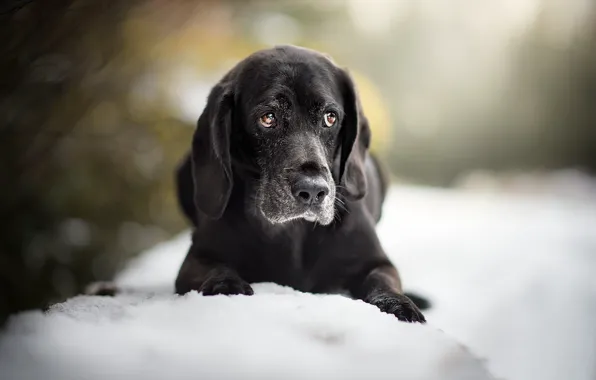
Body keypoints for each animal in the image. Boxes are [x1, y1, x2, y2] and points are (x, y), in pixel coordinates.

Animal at [175, 46, 426, 322]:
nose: (314, 190)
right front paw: (226, 286)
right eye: (268, 118)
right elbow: (217, 270)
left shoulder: (377, 262)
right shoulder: (197, 259)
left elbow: (383, 282)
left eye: (330, 117)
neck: (292, 231)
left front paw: (400, 305)